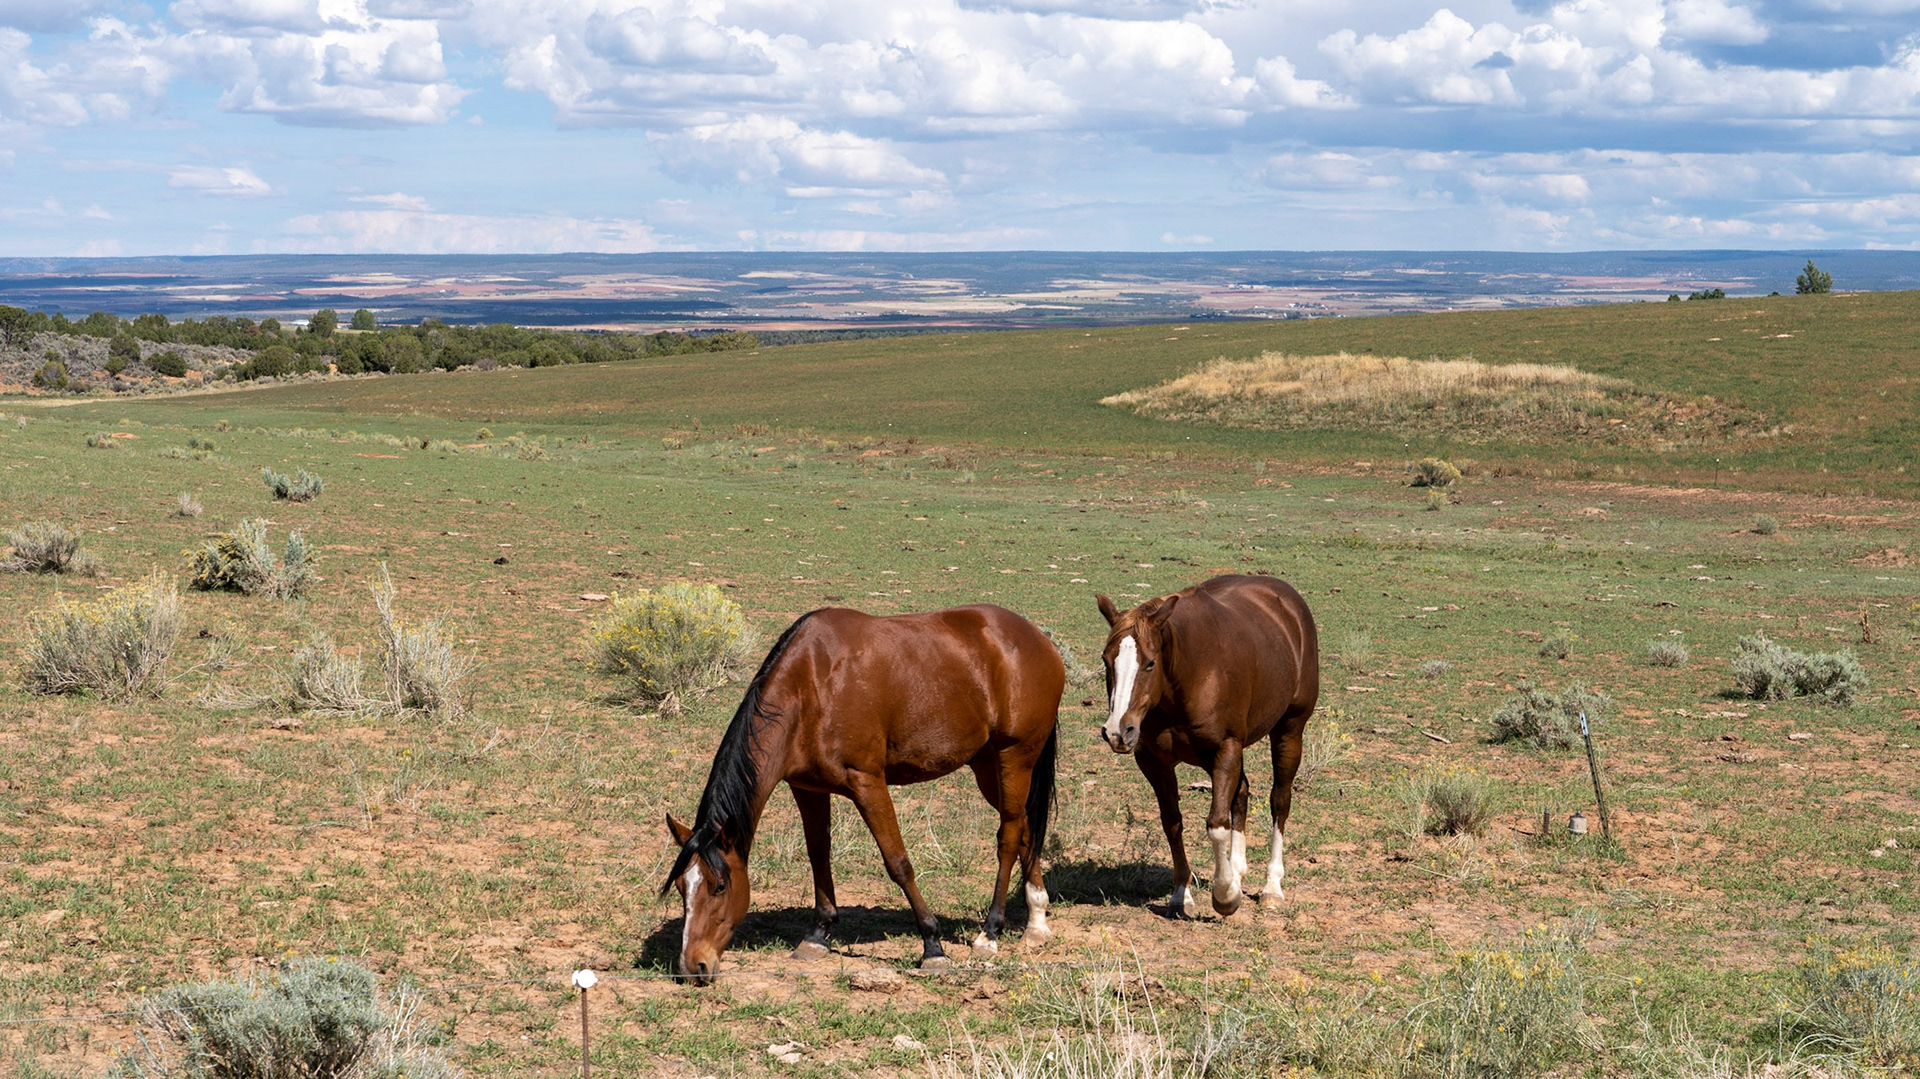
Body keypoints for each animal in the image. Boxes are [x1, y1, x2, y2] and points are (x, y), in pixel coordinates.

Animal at [661, 604, 1064, 984]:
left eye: (719, 886)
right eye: (682, 888)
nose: (692, 966)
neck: (809, 688)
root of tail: (1038, 640)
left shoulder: (868, 782)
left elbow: (898, 863)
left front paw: (932, 946)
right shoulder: (807, 788)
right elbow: (818, 855)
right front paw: (818, 934)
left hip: (1015, 758)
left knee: (1009, 835)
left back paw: (990, 932)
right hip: (987, 765)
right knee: (1025, 827)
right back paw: (1037, 922)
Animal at [1095, 574, 1319, 918]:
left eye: (1150, 663)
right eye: (1107, 660)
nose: (1118, 731)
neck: (1190, 674)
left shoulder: (1225, 749)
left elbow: (1217, 823)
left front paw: (1225, 896)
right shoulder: (1154, 761)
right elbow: (1172, 822)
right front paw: (1181, 894)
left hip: (1289, 731)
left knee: (1279, 801)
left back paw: (1271, 888)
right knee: (1241, 792)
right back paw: (1237, 870)